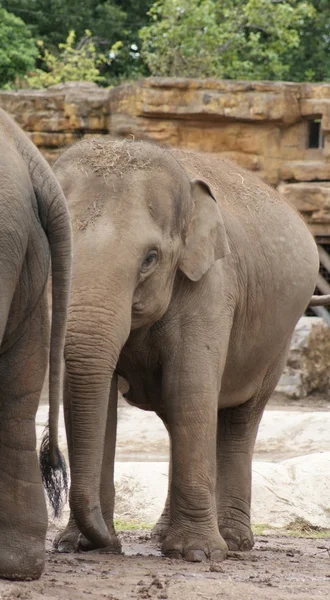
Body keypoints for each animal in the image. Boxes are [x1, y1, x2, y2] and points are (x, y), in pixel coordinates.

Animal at [44, 137, 328, 564]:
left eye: (151, 258)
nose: (105, 541)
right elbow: (101, 402)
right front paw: (81, 545)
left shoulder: (211, 286)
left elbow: (189, 392)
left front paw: (199, 553)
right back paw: (162, 534)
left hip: (277, 339)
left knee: (237, 419)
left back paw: (233, 542)